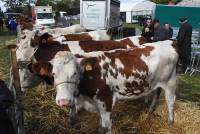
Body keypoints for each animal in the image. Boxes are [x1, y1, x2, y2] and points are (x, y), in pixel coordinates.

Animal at [28, 40, 177, 133]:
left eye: (75, 73)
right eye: (53, 74)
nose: (64, 101)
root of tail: (168, 42)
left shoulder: (106, 102)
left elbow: (106, 127)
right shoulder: (96, 104)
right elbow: (100, 124)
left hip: (170, 82)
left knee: (170, 101)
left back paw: (170, 122)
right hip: (156, 82)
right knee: (156, 93)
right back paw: (151, 110)